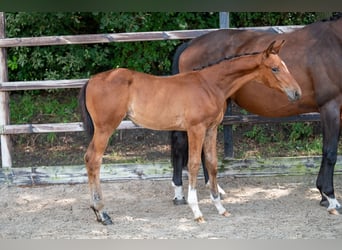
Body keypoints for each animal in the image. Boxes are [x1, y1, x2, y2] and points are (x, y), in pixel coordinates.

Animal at [79, 41, 300, 225]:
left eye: (285, 65)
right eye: (275, 68)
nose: (297, 93)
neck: (210, 84)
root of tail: (91, 80)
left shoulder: (211, 129)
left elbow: (211, 163)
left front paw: (220, 207)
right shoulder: (196, 129)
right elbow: (193, 165)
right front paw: (197, 211)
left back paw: (98, 213)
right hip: (105, 128)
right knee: (93, 160)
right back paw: (102, 213)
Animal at [171, 13, 342, 215]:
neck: (335, 43)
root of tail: (190, 45)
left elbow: (327, 151)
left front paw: (323, 195)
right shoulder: (330, 107)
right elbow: (330, 153)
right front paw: (331, 197)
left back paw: (215, 189)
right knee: (181, 143)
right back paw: (179, 194)